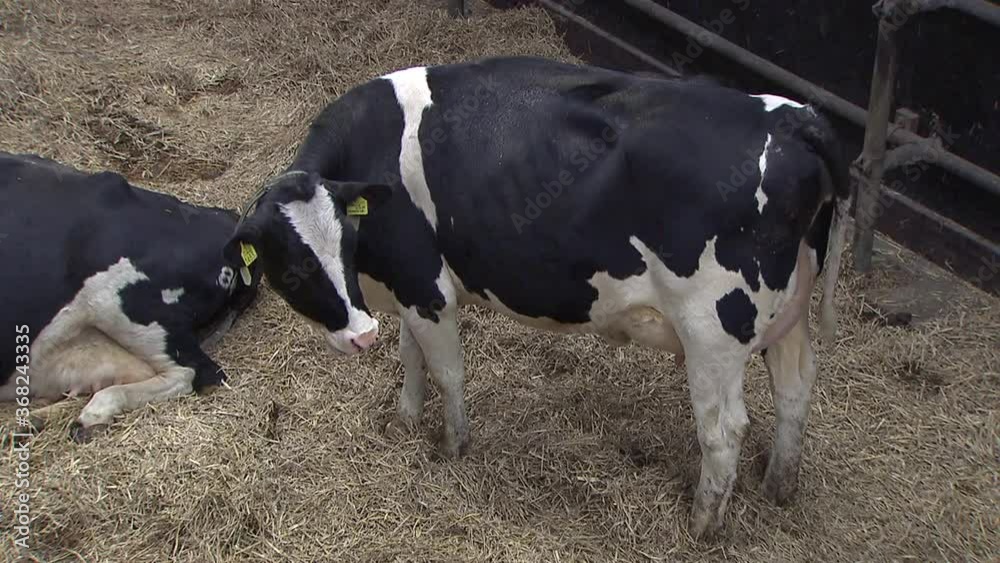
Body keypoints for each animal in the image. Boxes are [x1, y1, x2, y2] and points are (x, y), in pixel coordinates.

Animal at [221, 56, 851, 538]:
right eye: (291, 264)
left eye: (337, 247)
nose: (359, 334)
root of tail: (797, 120)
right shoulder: (406, 285)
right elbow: (410, 356)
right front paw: (405, 420)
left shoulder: (425, 285)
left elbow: (446, 370)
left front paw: (452, 446)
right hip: (788, 315)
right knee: (796, 388)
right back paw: (779, 486)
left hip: (713, 328)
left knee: (724, 430)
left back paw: (702, 526)